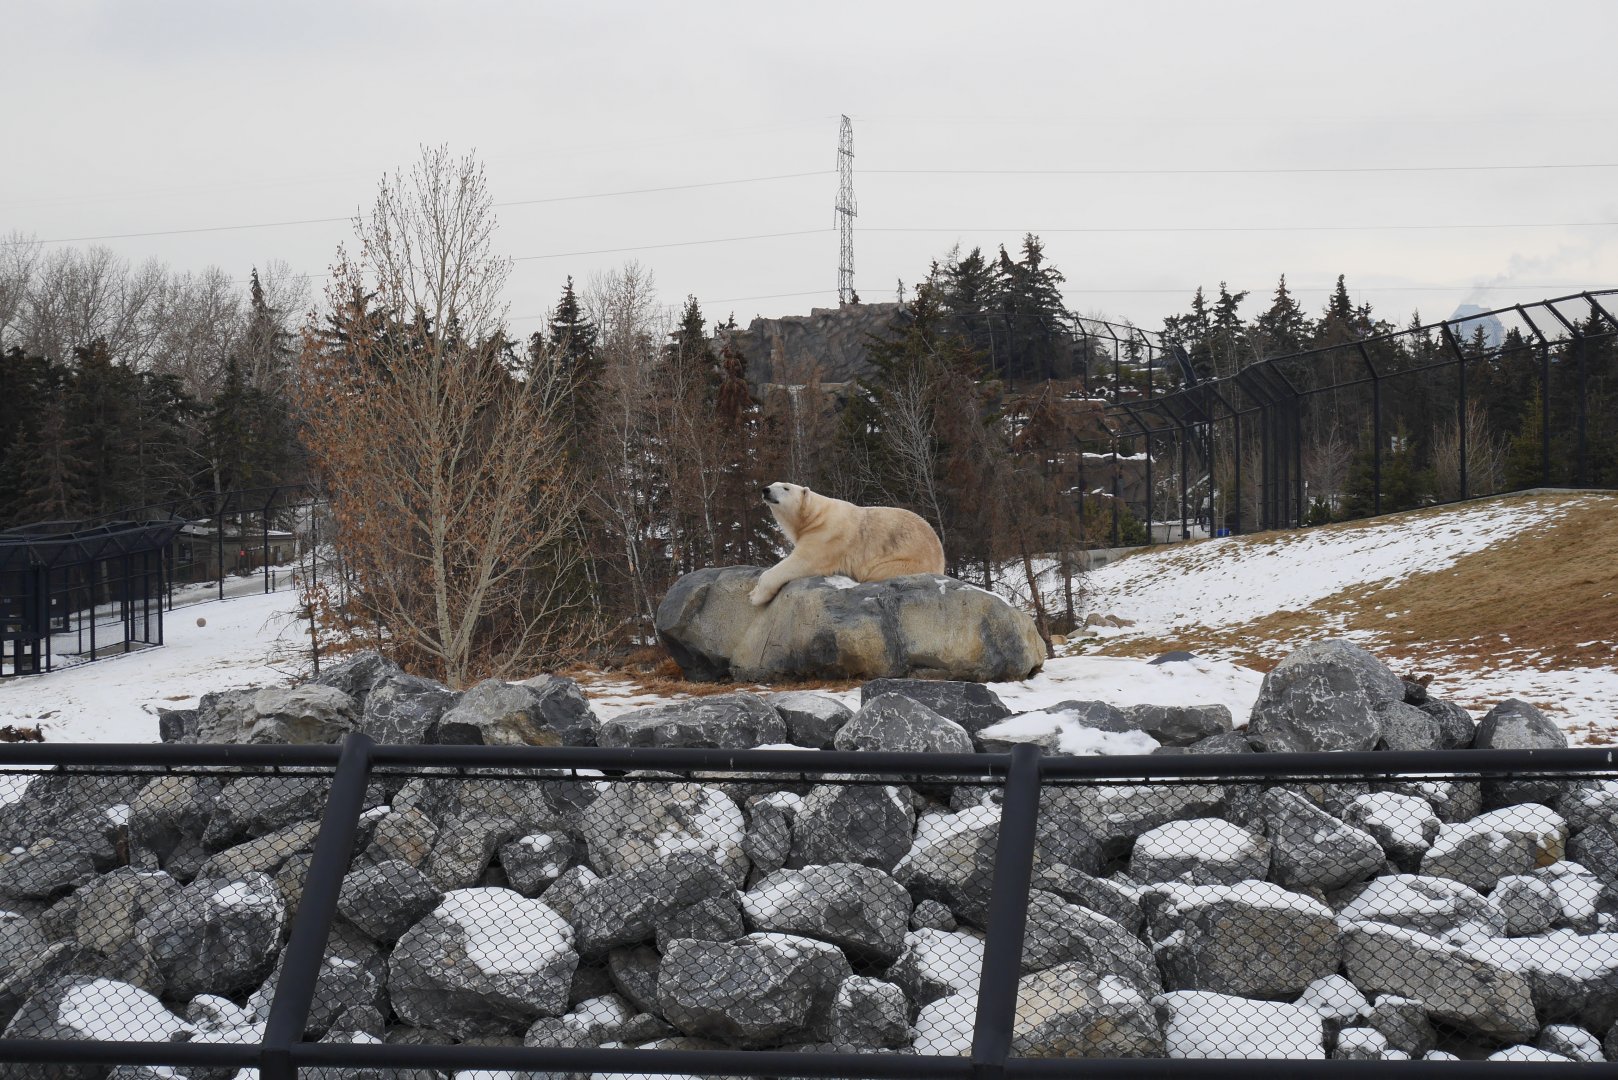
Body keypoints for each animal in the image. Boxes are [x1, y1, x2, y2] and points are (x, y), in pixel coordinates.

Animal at [748, 481, 947, 606]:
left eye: (786, 487)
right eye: (773, 484)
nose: (766, 490)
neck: (816, 516)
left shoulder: (827, 536)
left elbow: (800, 561)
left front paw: (754, 595)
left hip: (905, 562)